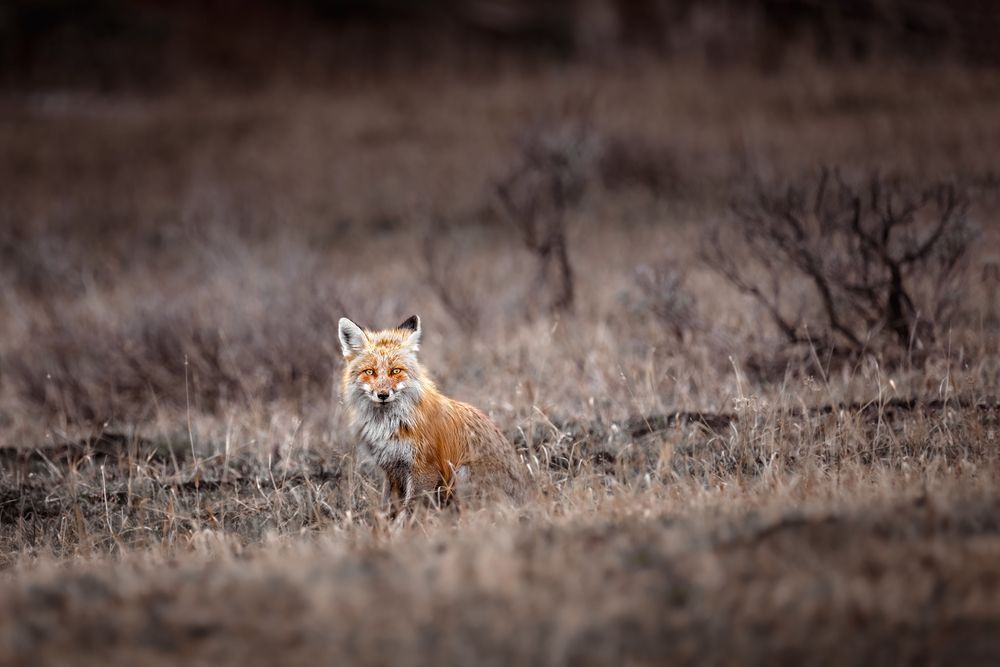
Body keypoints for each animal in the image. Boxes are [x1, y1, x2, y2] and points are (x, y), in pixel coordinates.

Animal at [339, 315, 526, 513]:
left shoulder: (424, 469)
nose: (382, 395)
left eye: (395, 371)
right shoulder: (391, 469)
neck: (389, 424)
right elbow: (388, 507)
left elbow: (409, 511)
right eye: (370, 372)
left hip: (462, 475)